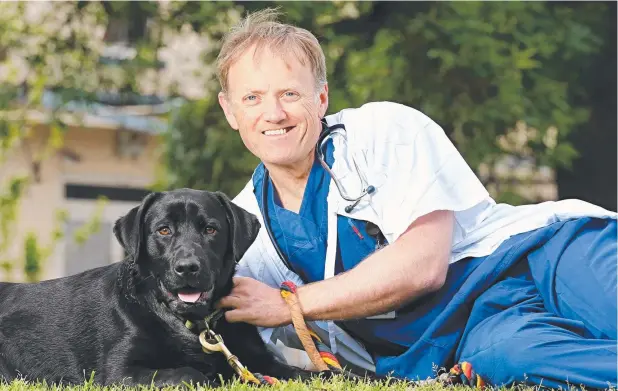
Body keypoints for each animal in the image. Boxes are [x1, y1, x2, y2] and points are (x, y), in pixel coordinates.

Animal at [0, 188, 318, 388]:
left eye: (210, 229)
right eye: (163, 230)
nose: (187, 267)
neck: (188, 323)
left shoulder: (259, 360)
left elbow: (306, 373)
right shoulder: (120, 371)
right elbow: (191, 374)